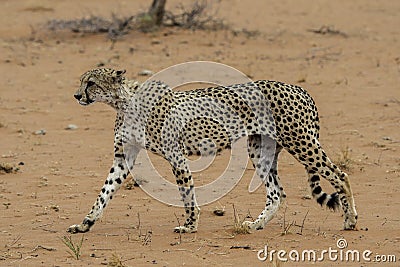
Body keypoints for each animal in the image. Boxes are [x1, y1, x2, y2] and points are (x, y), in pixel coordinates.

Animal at [67, 68, 358, 234]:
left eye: (91, 83)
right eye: (82, 82)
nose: (77, 95)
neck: (124, 103)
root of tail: (297, 87)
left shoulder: (176, 155)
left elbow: (186, 193)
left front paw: (190, 225)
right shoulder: (123, 156)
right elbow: (104, 192)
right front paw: (85, 223)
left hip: (301, 142)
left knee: (340, 175)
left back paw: (350, 220)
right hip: (259, 149)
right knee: (276, 192)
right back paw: (256, 225)